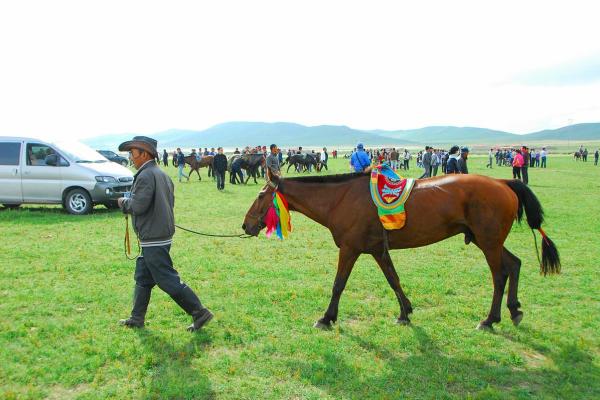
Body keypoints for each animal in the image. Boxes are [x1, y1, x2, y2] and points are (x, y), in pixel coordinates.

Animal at [241, 172, 560, 332]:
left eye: (260, 195)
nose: (246, 225)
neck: (342, 197)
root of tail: (502, 182)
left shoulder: (351, 249)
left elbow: (338, 284)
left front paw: (327, 318)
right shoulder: (377, 251)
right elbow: (393, 279)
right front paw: (405, 312)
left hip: (488, 243)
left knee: (499, 275)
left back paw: (490, 319)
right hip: (487, 241)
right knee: (515, 264)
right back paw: (514, 310)